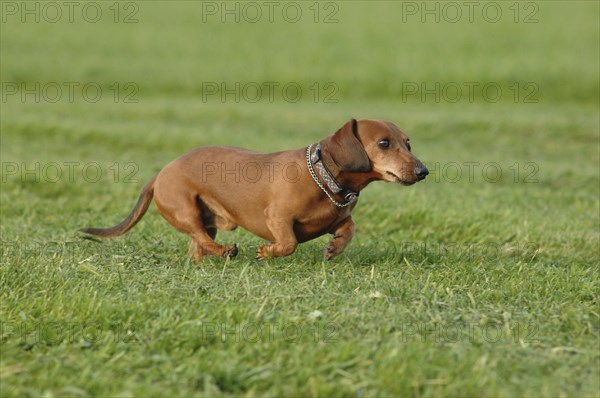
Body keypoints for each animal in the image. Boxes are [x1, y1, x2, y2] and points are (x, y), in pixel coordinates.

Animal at [81, 118, 426, 262]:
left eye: (408, 142)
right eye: (384, 143)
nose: (423, 171)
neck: (323, 176)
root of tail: (159, 174)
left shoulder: (340, 217)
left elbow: (349, 227)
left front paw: (335, 247)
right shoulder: (277, 218)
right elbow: (288, 243)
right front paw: (266, 252)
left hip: (204, 219)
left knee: (199, 245)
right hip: (186, 210)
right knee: (201, 238)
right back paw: (226, 251)